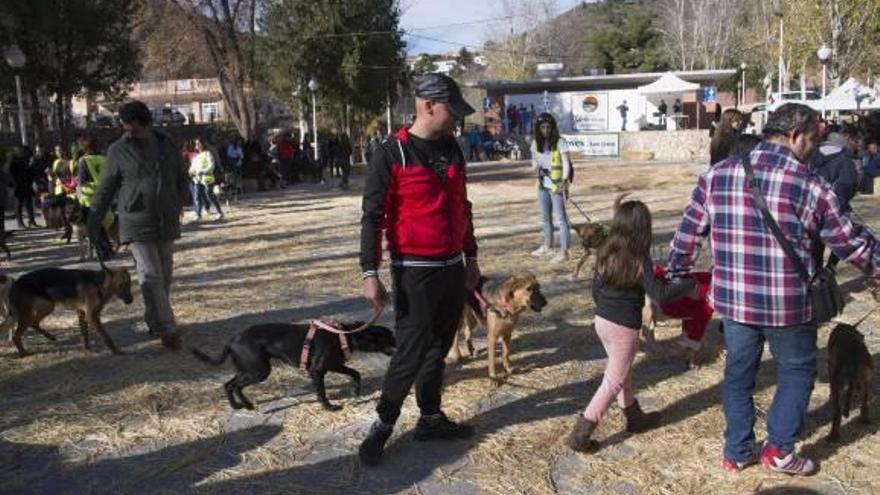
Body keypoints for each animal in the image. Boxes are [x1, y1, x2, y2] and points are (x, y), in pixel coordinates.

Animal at [196, 322, 398, 410]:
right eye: (390, 337)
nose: (399, 344)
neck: (342, 335)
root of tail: (232, 340)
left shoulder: (334, 364)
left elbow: (356, 373)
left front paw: (356, 391)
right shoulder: (318, 370)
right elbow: (322, 393)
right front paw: (329, 407)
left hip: (249, 369)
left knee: (230, 385)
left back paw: (241, 405)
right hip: (259, 371)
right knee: (233, 385)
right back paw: (241, 406)